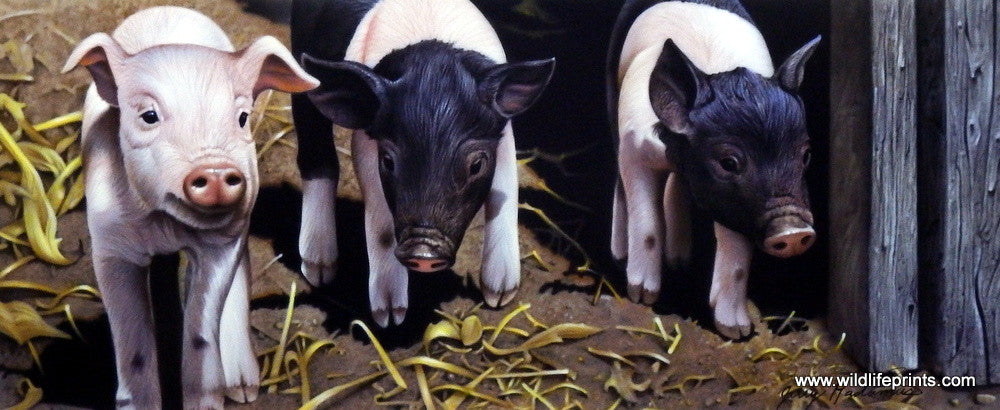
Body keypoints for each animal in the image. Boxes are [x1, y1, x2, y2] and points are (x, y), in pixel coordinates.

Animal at [63, 6, 318, 408]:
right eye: (148, 115)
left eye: (242, 117)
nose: (214, 169)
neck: (165, 227)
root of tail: (169, 8)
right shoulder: (111, 245)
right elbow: (133, 346)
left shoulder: (220, 241)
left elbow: (201, 332)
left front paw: (209, 399)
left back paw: (244, 389)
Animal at [291, 0, 555, 327]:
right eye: (388, 161)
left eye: (476, 166)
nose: (423, 251)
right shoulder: (366, 142)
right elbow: (381, 221)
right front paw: (390, 317)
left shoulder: (501, 135)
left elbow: (503, 194)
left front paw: (499, 296)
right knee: (316, 155)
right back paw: (319, 273)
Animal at [607, 0, 820, 339]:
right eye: (729, 162)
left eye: (806, 154)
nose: (794, 230)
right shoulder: (634, 148)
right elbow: (647, 224)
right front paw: (643, 297)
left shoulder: (739, 205)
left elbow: (738, 257)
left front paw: (736, 331)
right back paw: (621, 255)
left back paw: (680, 260)